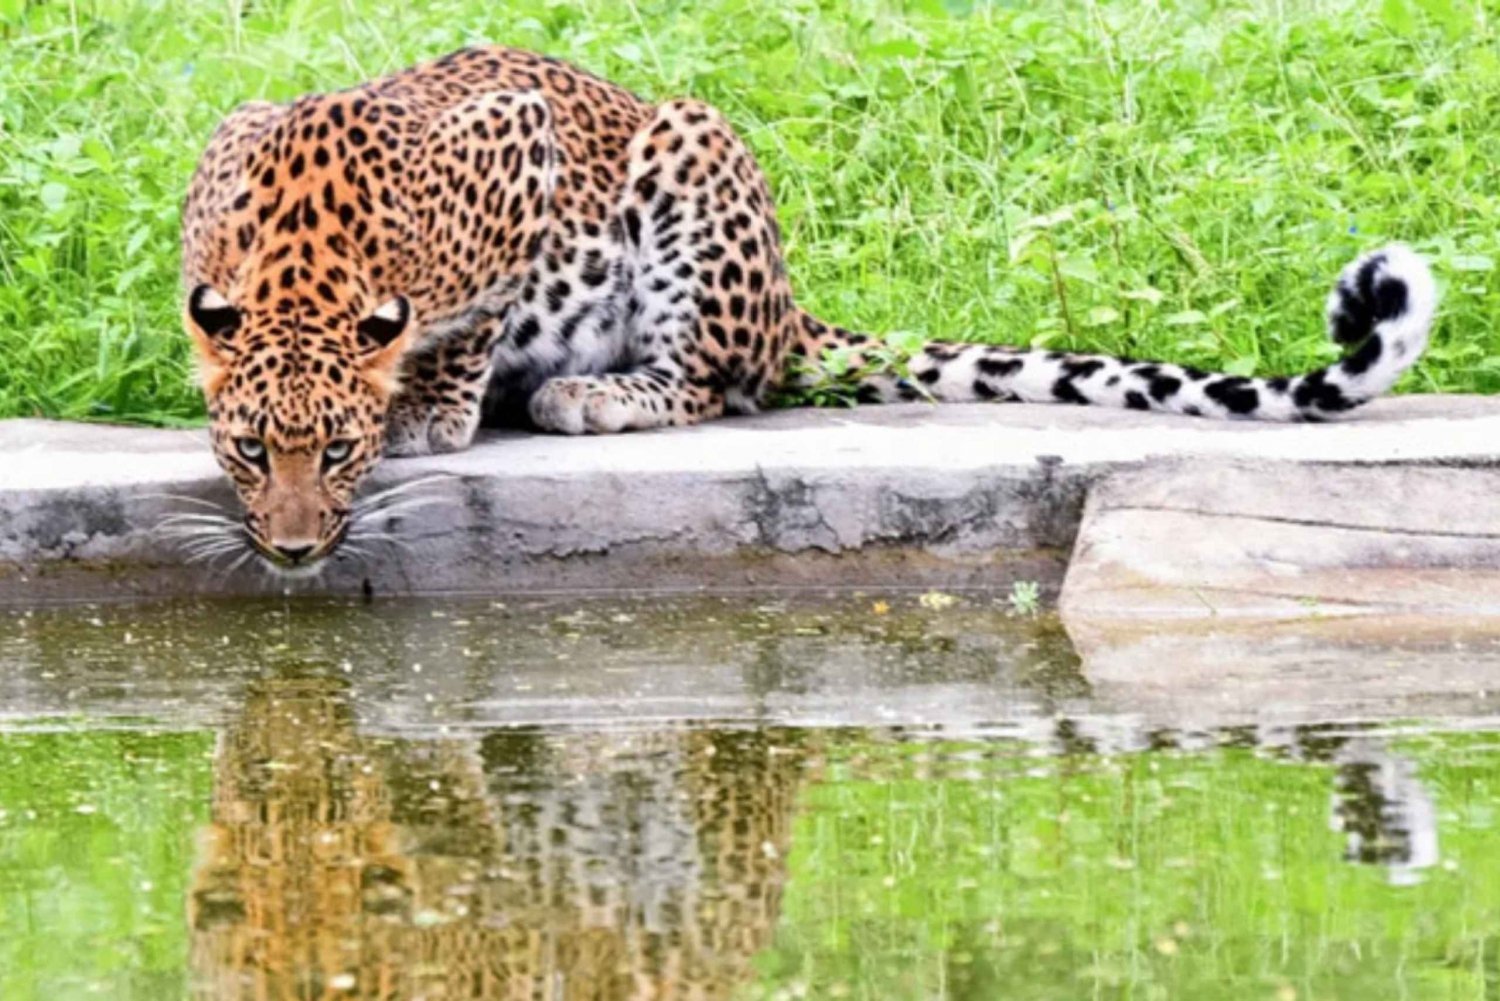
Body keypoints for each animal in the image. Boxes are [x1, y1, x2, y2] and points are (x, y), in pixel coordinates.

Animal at [180, 45, 1437, 569]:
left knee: (718, 385)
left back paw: (591, 393)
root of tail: (792, 306)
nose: (293, 548)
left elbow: (468, 324)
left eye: (338, 453)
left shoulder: (518, 146)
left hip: (691, 151)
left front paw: (432, 410)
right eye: (246, 451)